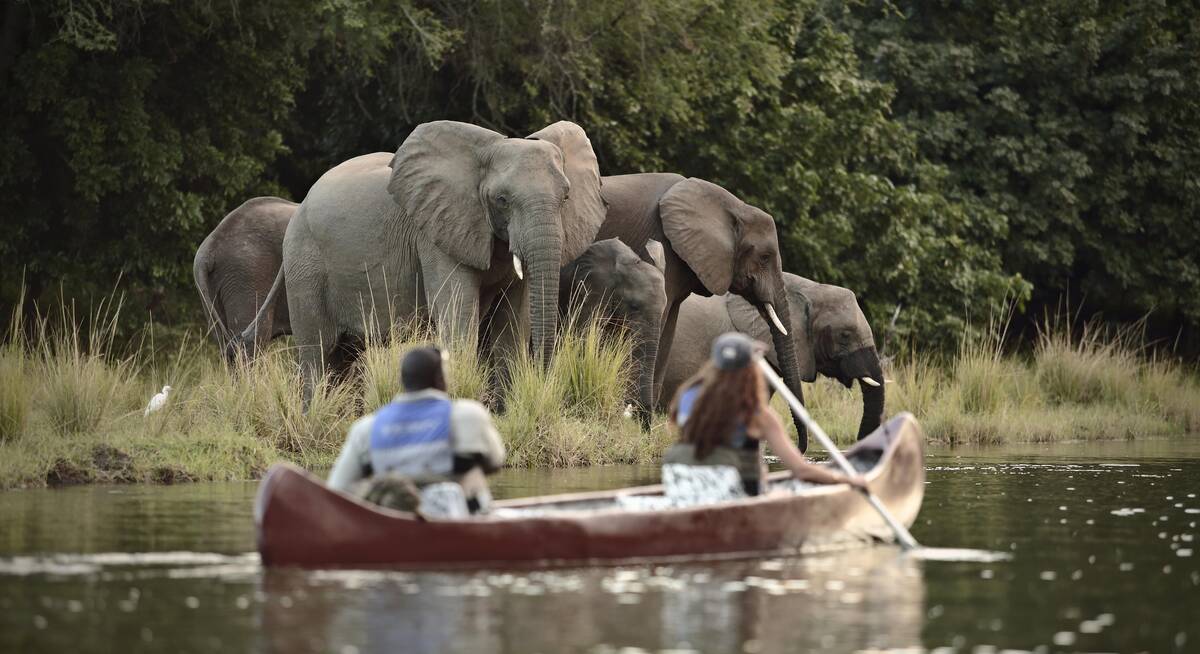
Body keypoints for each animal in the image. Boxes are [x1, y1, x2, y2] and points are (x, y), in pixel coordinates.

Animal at [253, 120, 609, 400]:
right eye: (502, 200)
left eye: (566, 197)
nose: (546, 385)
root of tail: (299, 205)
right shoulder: (435, 234)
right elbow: (458, 313)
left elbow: (512, 323)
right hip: (305, 264)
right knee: (318, 352)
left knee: (345, 355)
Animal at [597, 172, 806, 439]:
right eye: (765, 257)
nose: (801, 445)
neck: (733, 207)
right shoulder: (661, 247)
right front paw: (640, 425)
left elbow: (668, 329)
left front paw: (647, 429)